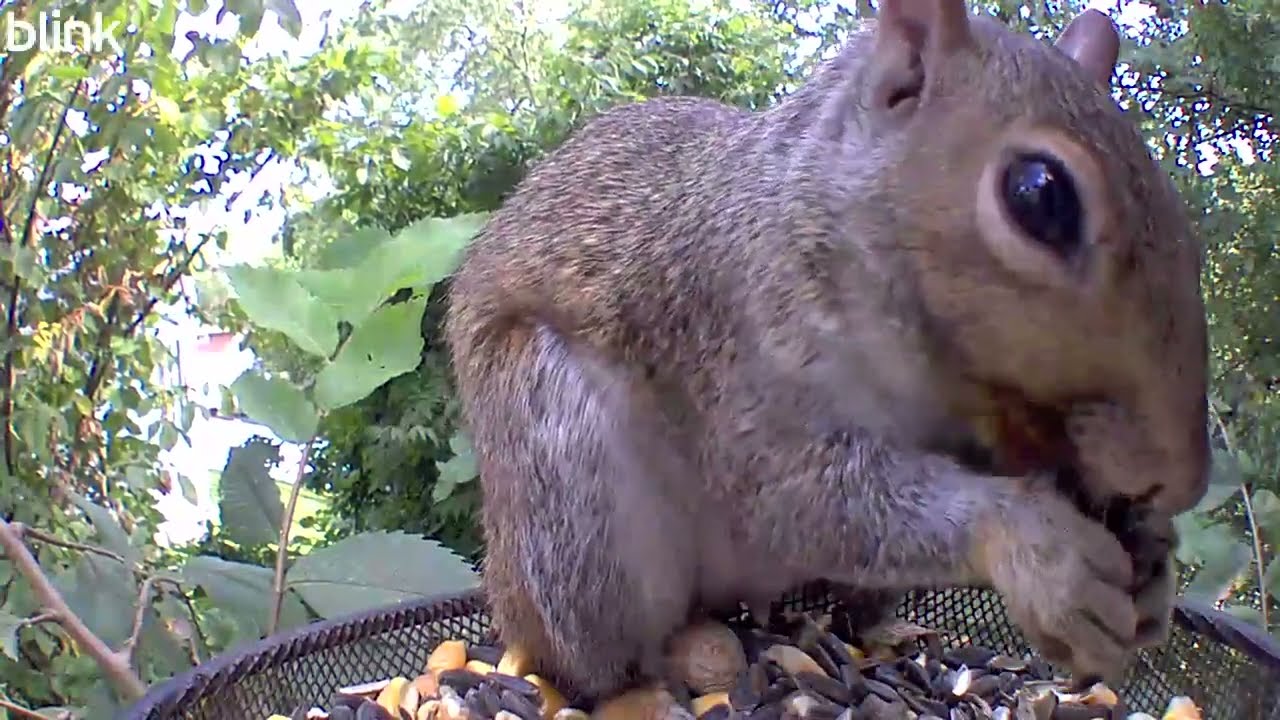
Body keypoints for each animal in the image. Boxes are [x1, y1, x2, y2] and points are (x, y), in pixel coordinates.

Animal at [443, 0, 1210, 704]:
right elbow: (793, 494)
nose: (1182, 483)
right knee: (595, 662)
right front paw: (1042, 552)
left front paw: (1152, 558)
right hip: (562, 478)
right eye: (1039, 195)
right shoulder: (734, 335)